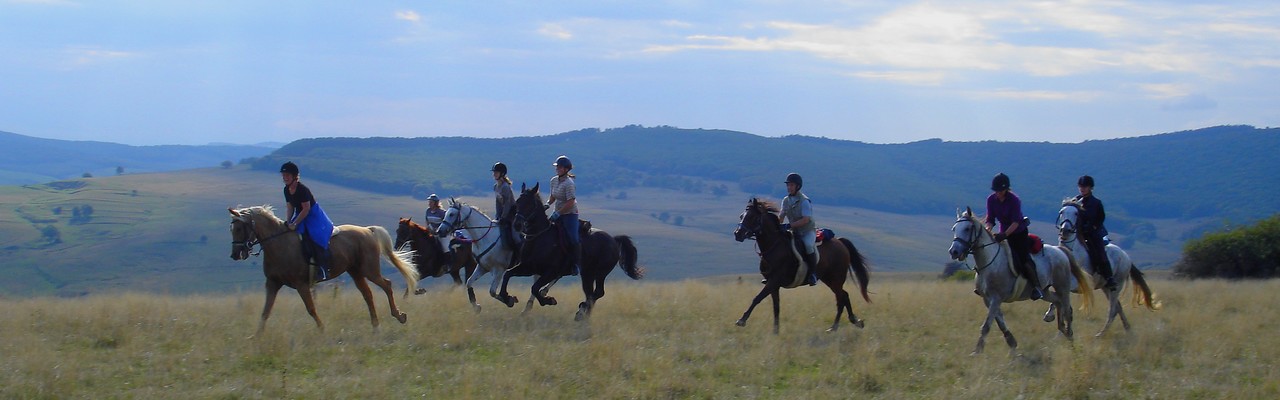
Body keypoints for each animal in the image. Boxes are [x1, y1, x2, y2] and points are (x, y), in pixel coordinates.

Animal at [230, 205, 419, 335]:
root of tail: (367, 230)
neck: (278, 244)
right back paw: (376, 326)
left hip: (369, 270)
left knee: (386, 285)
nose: (235, 255)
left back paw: (399, 316)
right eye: (231, 229)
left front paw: (322, 330)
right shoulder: (272, 284)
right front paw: (256, 337)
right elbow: (265, 311)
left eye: (239, 228)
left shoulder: (301, 284)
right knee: (368, 294)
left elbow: (311, 308)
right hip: (355, 271)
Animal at [496, 183, 640, 320]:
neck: (539, 237)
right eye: (518, 202)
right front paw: (507, 298)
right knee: (590, 293)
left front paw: (548, 300)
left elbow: (535, 288)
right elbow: (508, 274)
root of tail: (613, 239)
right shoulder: (529, 267)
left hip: (600, 273)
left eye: (530, 203)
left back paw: (581, 312)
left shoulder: (551, 272)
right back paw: (583, 315)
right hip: (587, 274)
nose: (517, 225)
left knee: (598, 293)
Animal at [732, 197, 870, 333]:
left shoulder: (774, 281)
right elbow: (776, 306)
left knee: (842, 297)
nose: (737, 234)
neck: (774, 246)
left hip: (836, 279)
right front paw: (776, 331)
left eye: (753, 217)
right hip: (828, 279)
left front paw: (742, 320)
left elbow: (757, 298)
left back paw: (837, 326)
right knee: (843, 296)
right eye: (741, 216)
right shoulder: (773, 284)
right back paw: (850, 322)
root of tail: (840, 242)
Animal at [947, 207, 1095, 353]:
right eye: (954, 229)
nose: (954, 252)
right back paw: (1061, 328)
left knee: (1067, 310)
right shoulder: (987, 299)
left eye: (967, 229)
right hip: (1045, 291)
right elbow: (1000, 322)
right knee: (1058, 302)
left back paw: (1070, 339)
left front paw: (977, 350)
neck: (990, 262)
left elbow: (987, 325)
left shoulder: (996, 298)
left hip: (1062, 287)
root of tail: (1060, 250)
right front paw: (1011, 342)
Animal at [1049, 198, 1162, 335]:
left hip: (1116, 286)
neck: (1072, 251)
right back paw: (1127, 328)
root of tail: (1126, 256)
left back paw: (1101, 334)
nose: (1065, 231)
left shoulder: (1076, 283)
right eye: (1061, 212)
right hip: (1106, 287)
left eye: (1076, 213)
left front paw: (1050, 316)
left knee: (1112, 310)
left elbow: (1059, 298)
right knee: (1118, 307)